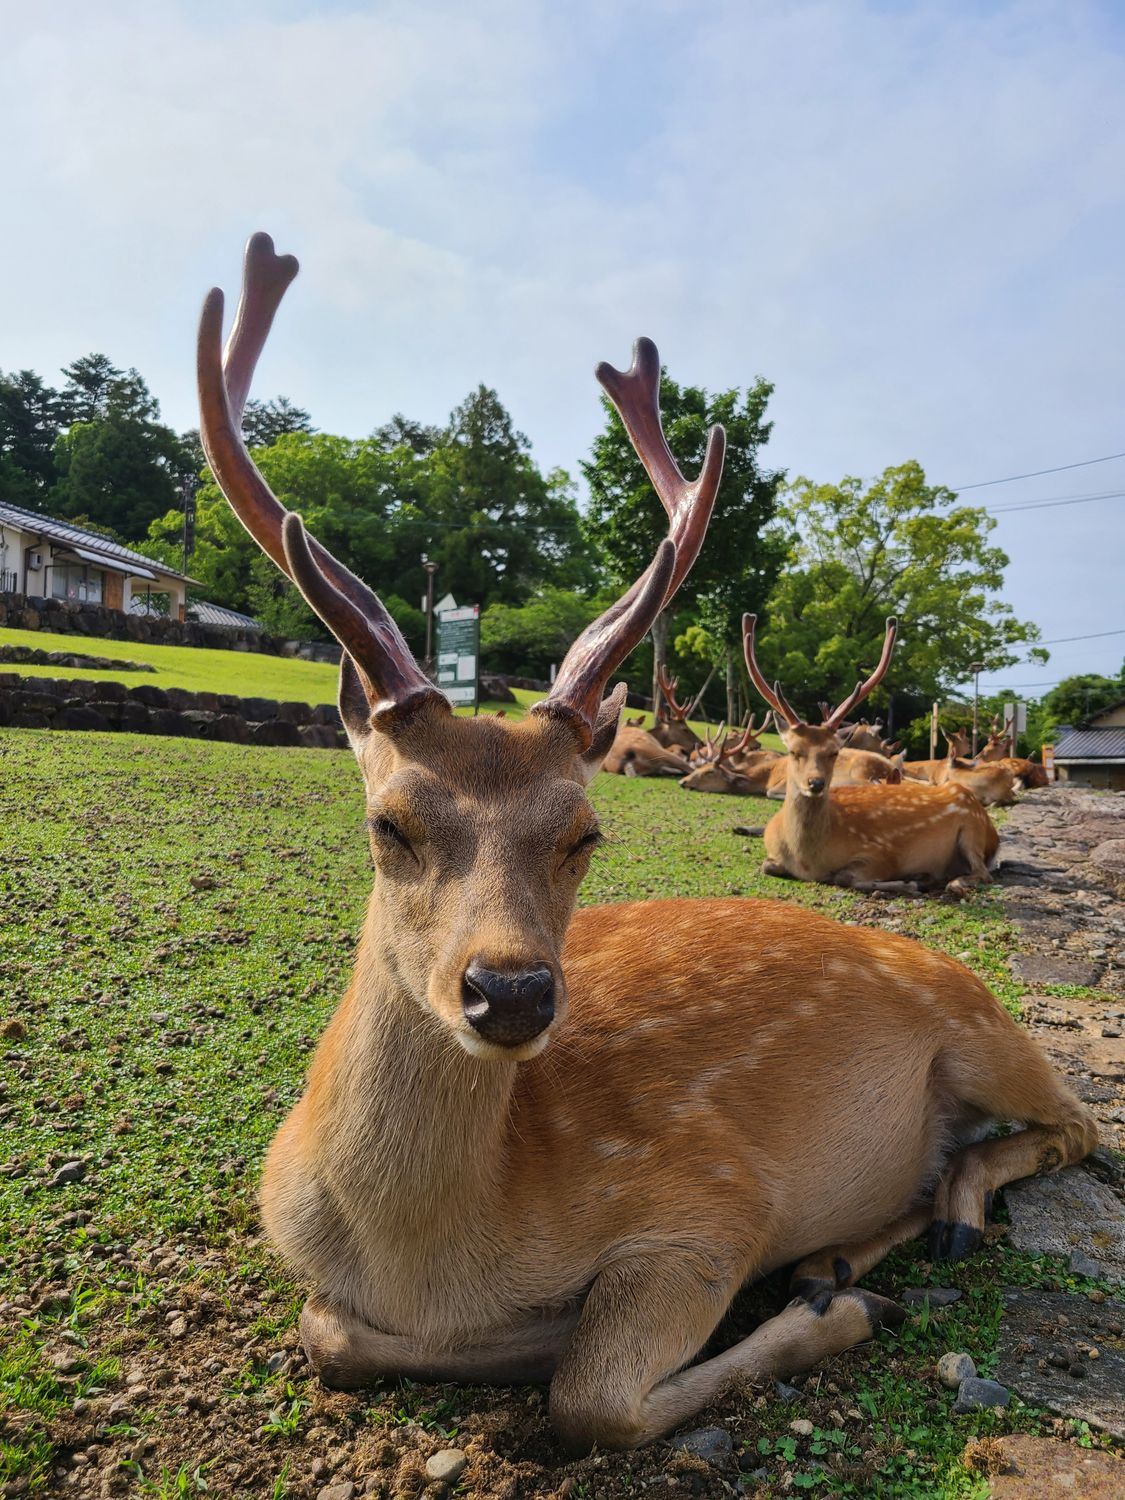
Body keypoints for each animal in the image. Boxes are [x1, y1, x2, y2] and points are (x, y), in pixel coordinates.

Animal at [744, 616, 1003, 895]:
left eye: (834, 752)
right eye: (793, 751)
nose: (815, 783)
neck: (807, 861)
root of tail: (992, 834)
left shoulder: (882, 853)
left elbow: (844, 877)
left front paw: (912, 881)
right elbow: (767, 866)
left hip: (972, 828)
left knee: (984, 873)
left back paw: (947, 881)